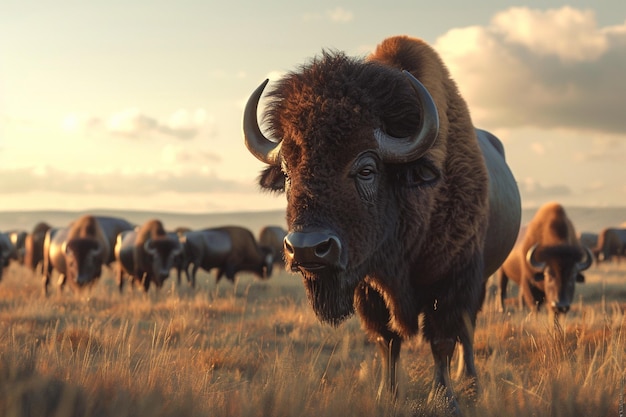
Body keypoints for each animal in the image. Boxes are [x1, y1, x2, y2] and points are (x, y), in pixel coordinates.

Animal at [241, 34, 520, 412]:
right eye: (286, 174)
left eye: (366, 169)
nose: (307, 249)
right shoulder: (368, 285)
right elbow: (387, 341)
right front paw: (386, 396)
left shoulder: (453, 279)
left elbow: (442, 340)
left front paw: (445, 399)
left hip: (482, 279)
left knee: (468, 329)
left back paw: (470, 381)